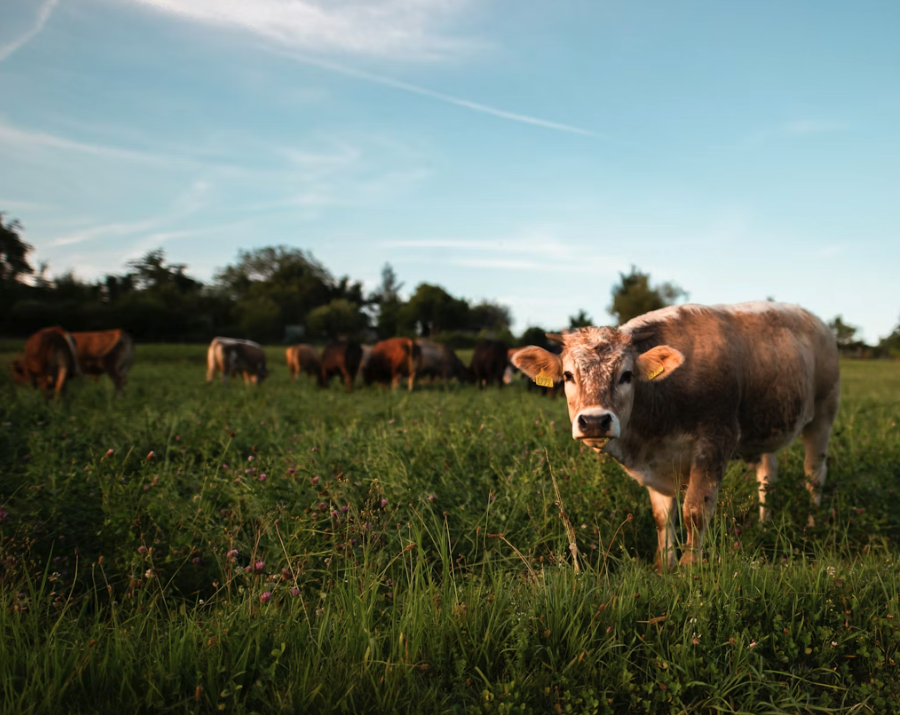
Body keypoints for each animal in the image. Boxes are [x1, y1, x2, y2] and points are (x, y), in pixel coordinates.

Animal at [512, 302, 840, 570]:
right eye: (568, 376)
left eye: (627, 375)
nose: (594, 421)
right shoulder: (656, 464)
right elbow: (662, 516)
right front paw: (664, 564)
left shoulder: (715, 440)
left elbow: (694, 510)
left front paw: (689, 567)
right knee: (767, 474)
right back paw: (764, 524)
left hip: (823, 416)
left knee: (815, 473)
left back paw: (813, 523)